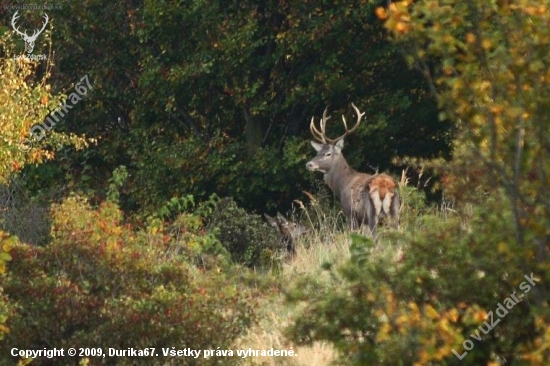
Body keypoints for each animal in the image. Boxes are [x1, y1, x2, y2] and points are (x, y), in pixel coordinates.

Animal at [306, 103, 402, 234]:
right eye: (318, 152)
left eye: (328, 154)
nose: (309, 164)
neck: (342, 186)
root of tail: (385, 187)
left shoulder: (351, 213)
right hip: (395, 212)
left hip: (372, 213)